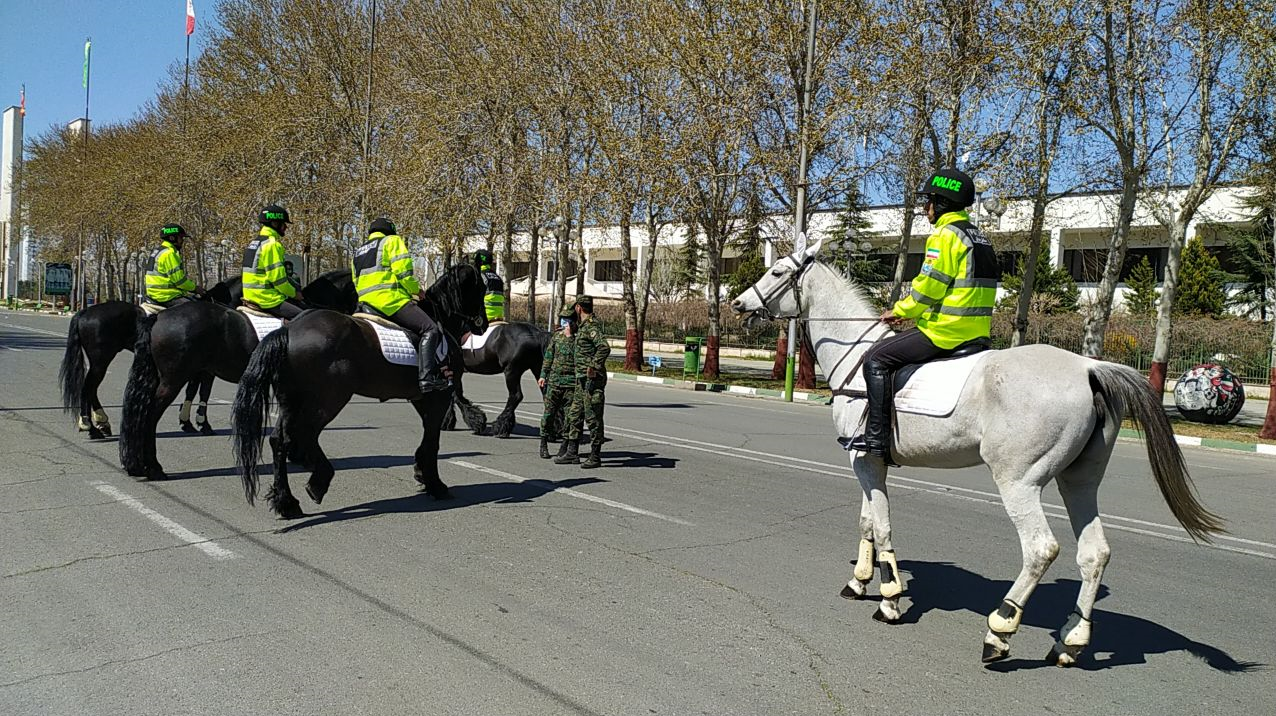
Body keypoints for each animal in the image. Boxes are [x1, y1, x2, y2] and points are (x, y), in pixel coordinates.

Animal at [59, 276, 243, 439]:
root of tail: (85, 311)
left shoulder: (196, 368)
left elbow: (192, 390)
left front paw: (187, 422)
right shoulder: (204, 369)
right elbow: (203, 391)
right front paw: (202, 424)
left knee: (92, 389)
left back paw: (101, 424)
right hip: (101, 360)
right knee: (88, 388)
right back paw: (90, 426)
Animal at [729, 238, 1224, 663]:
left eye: (777, 270)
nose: (738, 304)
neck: (858, 355)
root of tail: (1089, 367)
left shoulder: (863, 460)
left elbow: (882, 526)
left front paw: (889, 600)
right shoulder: (870, 464)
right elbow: (868, 521)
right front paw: (859, 581)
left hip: (1019, 482)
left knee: (1041, 549)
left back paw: (1000, 630)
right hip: (1079, 481)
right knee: (1094, 553)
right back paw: (1071, 641)